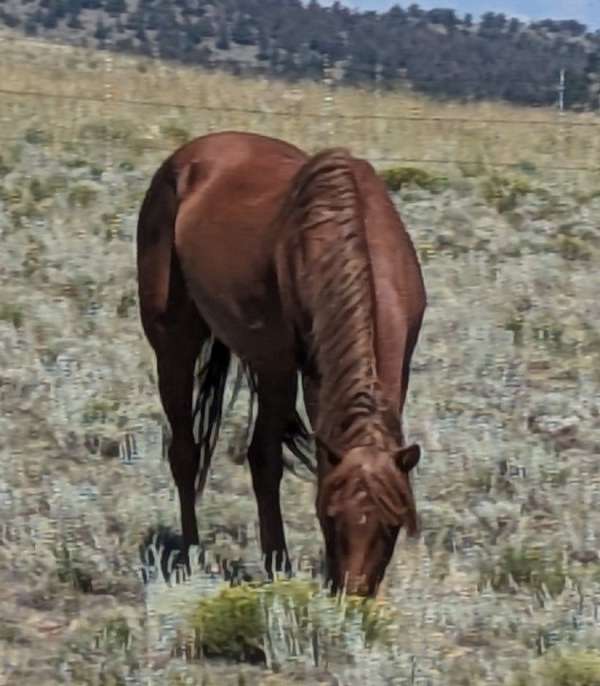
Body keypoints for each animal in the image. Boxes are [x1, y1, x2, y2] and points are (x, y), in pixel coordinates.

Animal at [136, 130, 426, 596]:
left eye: (392, 526)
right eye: (329, 517)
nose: (350, 599)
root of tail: (190, 154)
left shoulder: (397, 367)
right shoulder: (295, 370)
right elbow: (265, 462)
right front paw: (278, 567)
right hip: (180, 345)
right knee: (188, 452)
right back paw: (191, 555)